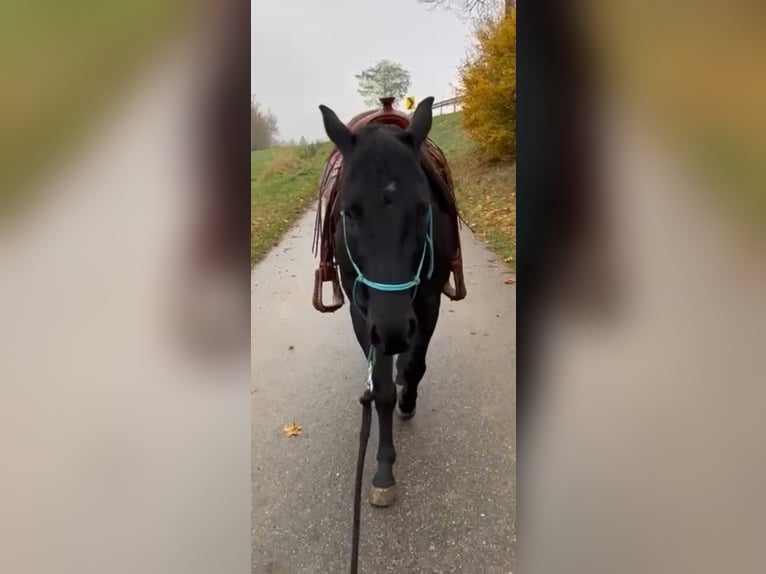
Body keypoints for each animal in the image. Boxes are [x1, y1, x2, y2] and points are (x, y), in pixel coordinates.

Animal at [320, 99, 460, 508]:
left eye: (422, 207)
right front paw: (383, 469)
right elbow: (381, 390)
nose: (395, 329)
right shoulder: (365, 315)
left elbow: (414, 367)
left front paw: (408, 402)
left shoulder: (426, 304)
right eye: (349, 212)